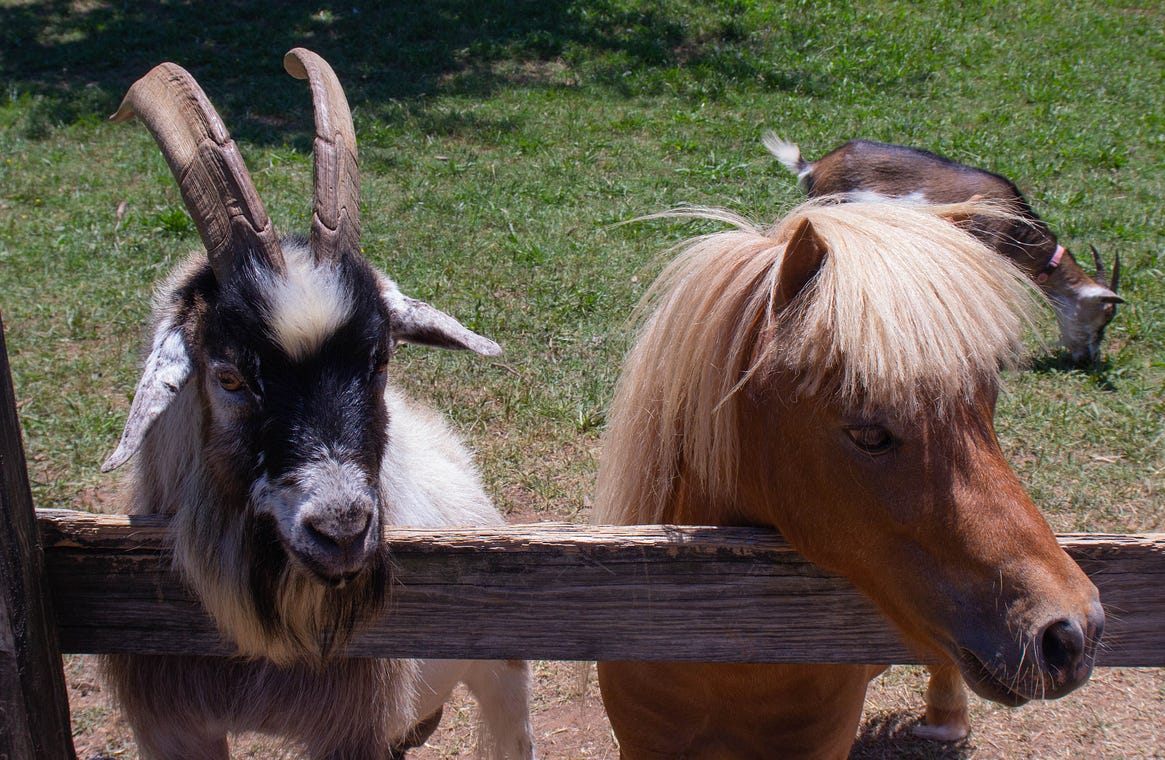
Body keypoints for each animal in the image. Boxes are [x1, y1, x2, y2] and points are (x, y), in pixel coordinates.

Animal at [99, 49, 534, 760]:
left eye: (381, 359)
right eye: (228, 376)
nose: (342, 532)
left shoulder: (352, 726)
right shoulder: (169, 721)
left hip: (501, 666)